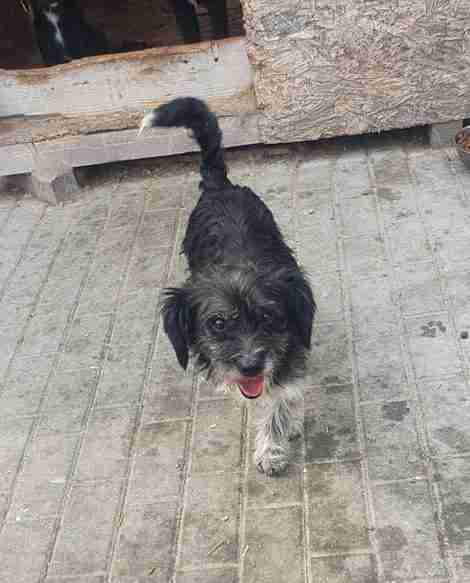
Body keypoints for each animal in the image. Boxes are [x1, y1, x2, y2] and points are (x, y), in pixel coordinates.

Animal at [139, 98, 316, 475]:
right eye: (217, 323)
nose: (250, 367)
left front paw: (273, 445)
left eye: (268, 317)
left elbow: (283, 397)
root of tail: (218, 186)